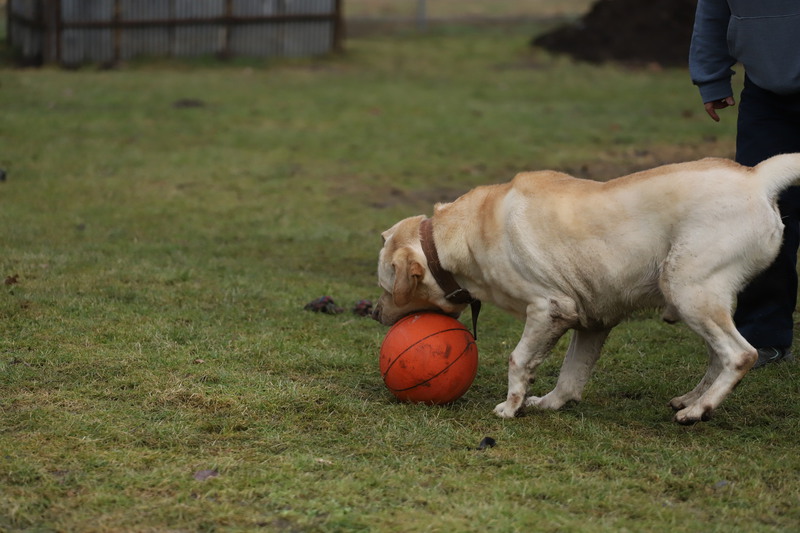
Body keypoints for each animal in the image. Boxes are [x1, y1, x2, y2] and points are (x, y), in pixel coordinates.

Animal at [373, 154, 800, 424]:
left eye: (384, 286)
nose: (373, 313)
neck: (460, 235)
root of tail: (757, 176)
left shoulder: (548, 308)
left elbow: (518, 359)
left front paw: (510, 408)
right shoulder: (592, 321)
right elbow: (570, 377)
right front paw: (547, 404)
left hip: (687, 288)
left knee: (741, 354)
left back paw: (698, 411)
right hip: (701, 298)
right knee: (718, 355)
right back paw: (692, 399)